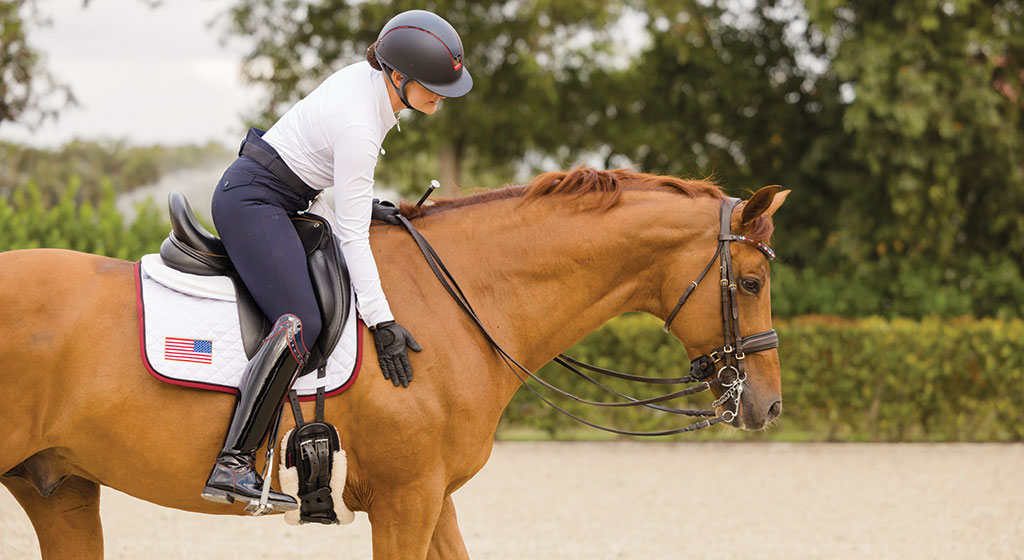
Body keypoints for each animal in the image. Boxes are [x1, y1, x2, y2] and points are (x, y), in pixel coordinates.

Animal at [0, 166, 789, 559]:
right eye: (751, 283)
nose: (768, 405)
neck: (463, 299)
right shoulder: (404, 501)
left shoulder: (433, 497)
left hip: (58, 487)